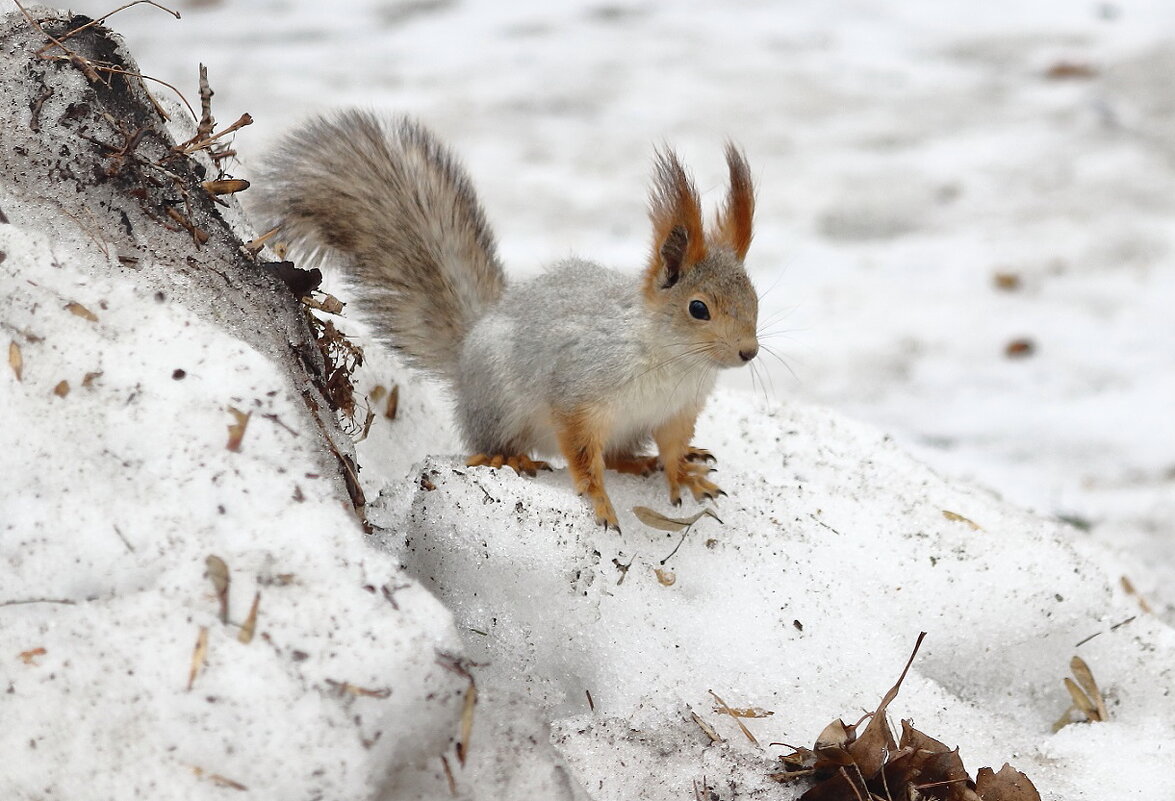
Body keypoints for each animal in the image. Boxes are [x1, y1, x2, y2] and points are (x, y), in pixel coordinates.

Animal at [254, 107, 761, 530]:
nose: (748, 352)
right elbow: (580, 452)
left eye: (754, 297)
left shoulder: (677, 411)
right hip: (500, 404)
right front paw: (599, 501)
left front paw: (684, 475)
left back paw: (639, 462)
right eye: (698, 308)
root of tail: (467, 350)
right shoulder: (579, 390)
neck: (674, 362)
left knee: (619, 454)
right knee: (493, 443)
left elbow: (671, 447)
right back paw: (512, 460)